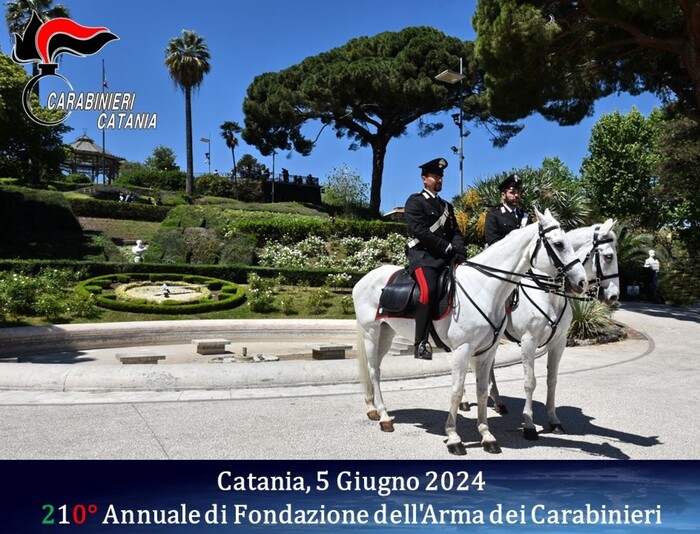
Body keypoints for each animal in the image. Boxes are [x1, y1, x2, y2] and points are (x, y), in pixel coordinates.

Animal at [352, 209, 588, 456]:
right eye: (559, 244)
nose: (582, 282)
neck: (484, 287)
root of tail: (365, 278)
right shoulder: (470, 348)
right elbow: (457, 391)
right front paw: (454, 437)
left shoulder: (488, 350)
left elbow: (483, 391)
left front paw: (486, 435)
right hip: (371, 333)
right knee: (374, 371)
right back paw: (384, 417)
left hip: (386, 334)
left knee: (374, 368)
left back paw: (372, 408)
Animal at [462, 220, 620, 442]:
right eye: (608, 256)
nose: (614, 296)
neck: (549, 294)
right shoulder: (529, 342)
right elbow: (530, 382)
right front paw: (529, 425)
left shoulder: (559, 343)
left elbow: (552, 380)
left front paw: (553, 421)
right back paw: (464, 401)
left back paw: (498, 401)